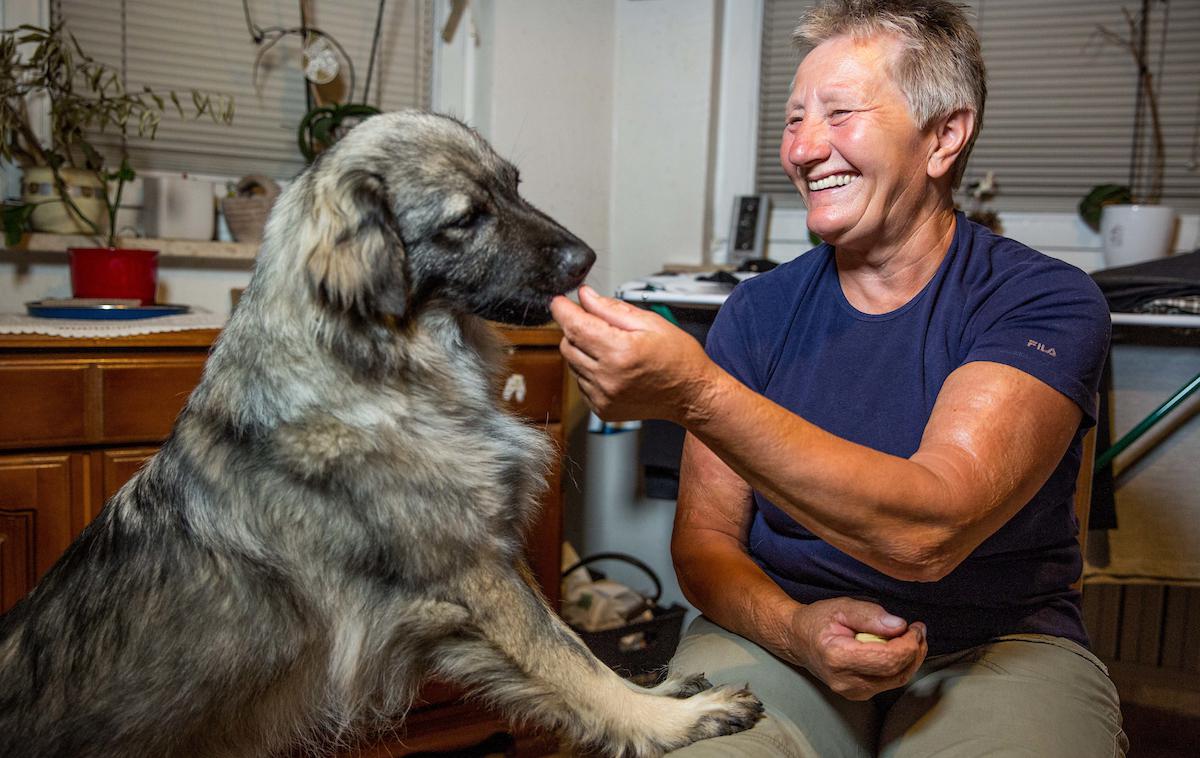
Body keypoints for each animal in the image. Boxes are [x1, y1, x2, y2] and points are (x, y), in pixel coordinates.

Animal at [0, 112, 763, 758]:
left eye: (514, 186)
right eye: (466, 220)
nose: (587, 260)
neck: (376, 371)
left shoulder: (487, 565)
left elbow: (571, 643)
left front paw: (656, 691)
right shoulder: (472, 574)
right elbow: (568, 659)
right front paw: (666, 721)